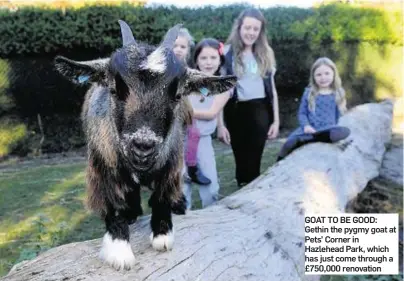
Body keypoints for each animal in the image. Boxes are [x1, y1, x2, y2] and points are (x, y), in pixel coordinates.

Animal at [53, 20, 237, 270]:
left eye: (178, 95)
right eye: (114, 89)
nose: (142, 146)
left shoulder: (171, 161)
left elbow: (161, 196)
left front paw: (163, 236)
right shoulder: (102, 166)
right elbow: (113, 203)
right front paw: (119, 250)